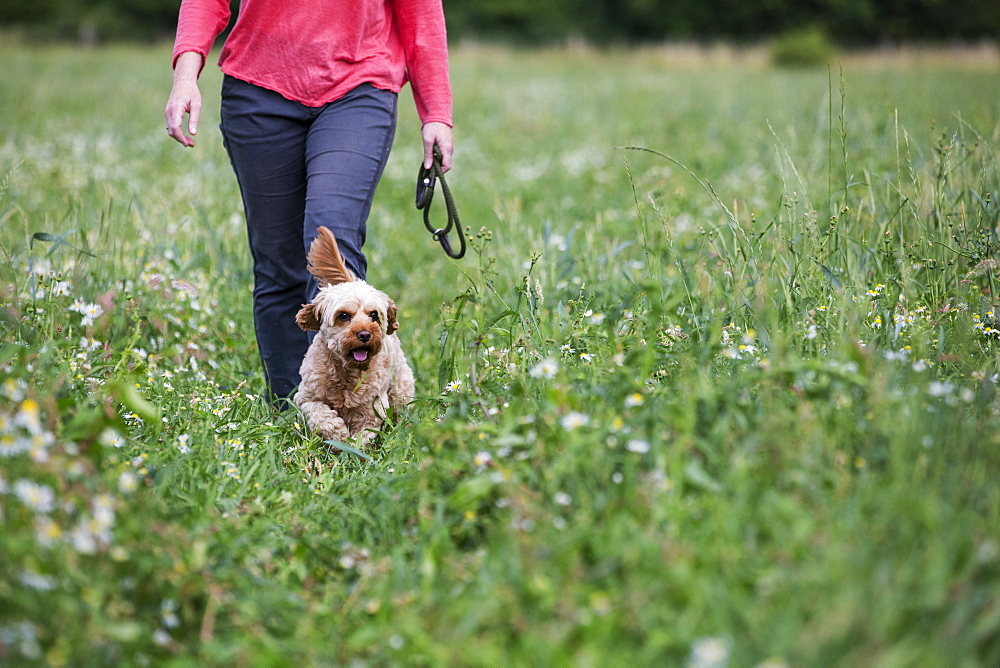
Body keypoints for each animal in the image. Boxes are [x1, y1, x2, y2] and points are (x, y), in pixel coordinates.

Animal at [292, 227, 414, 446]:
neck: (346, 373)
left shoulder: (373, 408)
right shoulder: (306, 397)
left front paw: (351, 448)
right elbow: (321, 415)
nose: (365, 334)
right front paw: (338, 436)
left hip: (400, 387)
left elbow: (364, 435)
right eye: (343, 316)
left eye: (373, 315)